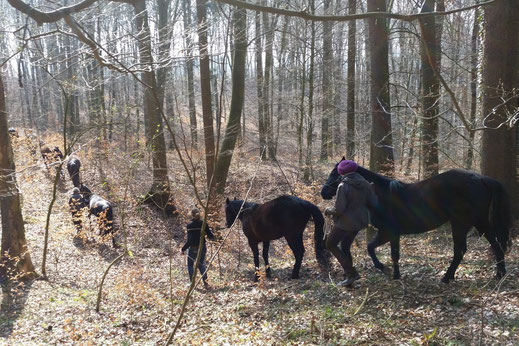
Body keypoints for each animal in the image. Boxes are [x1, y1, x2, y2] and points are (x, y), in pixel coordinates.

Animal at [320, 158, 512, 282]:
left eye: (335, 174)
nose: (323, 192)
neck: (380, 195)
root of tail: (481, 178)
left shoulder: (389, 231)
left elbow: (383, 251)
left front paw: (388, 270)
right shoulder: (389, 233)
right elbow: (382, 250)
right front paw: (391, 272)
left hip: (461, 223)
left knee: (460, 250)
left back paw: (447, 277)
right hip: (480, 223)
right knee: (496, 245)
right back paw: (499, 274)